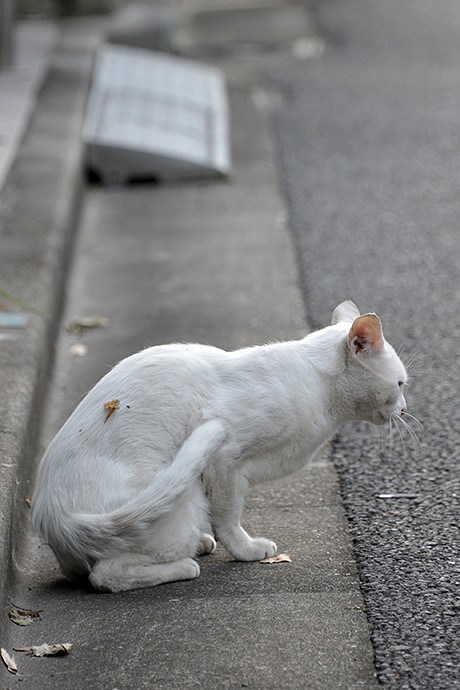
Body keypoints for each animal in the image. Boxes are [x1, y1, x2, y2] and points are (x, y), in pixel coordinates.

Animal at [31, 300, 406, 592]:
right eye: (401, 384)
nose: (403, 409)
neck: (321, 392)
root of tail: (55, 516)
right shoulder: (226, 459)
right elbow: (228, 517)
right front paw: (247, 549)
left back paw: (197, 546)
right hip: (185, 500)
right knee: (105, 576)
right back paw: (184, 566)